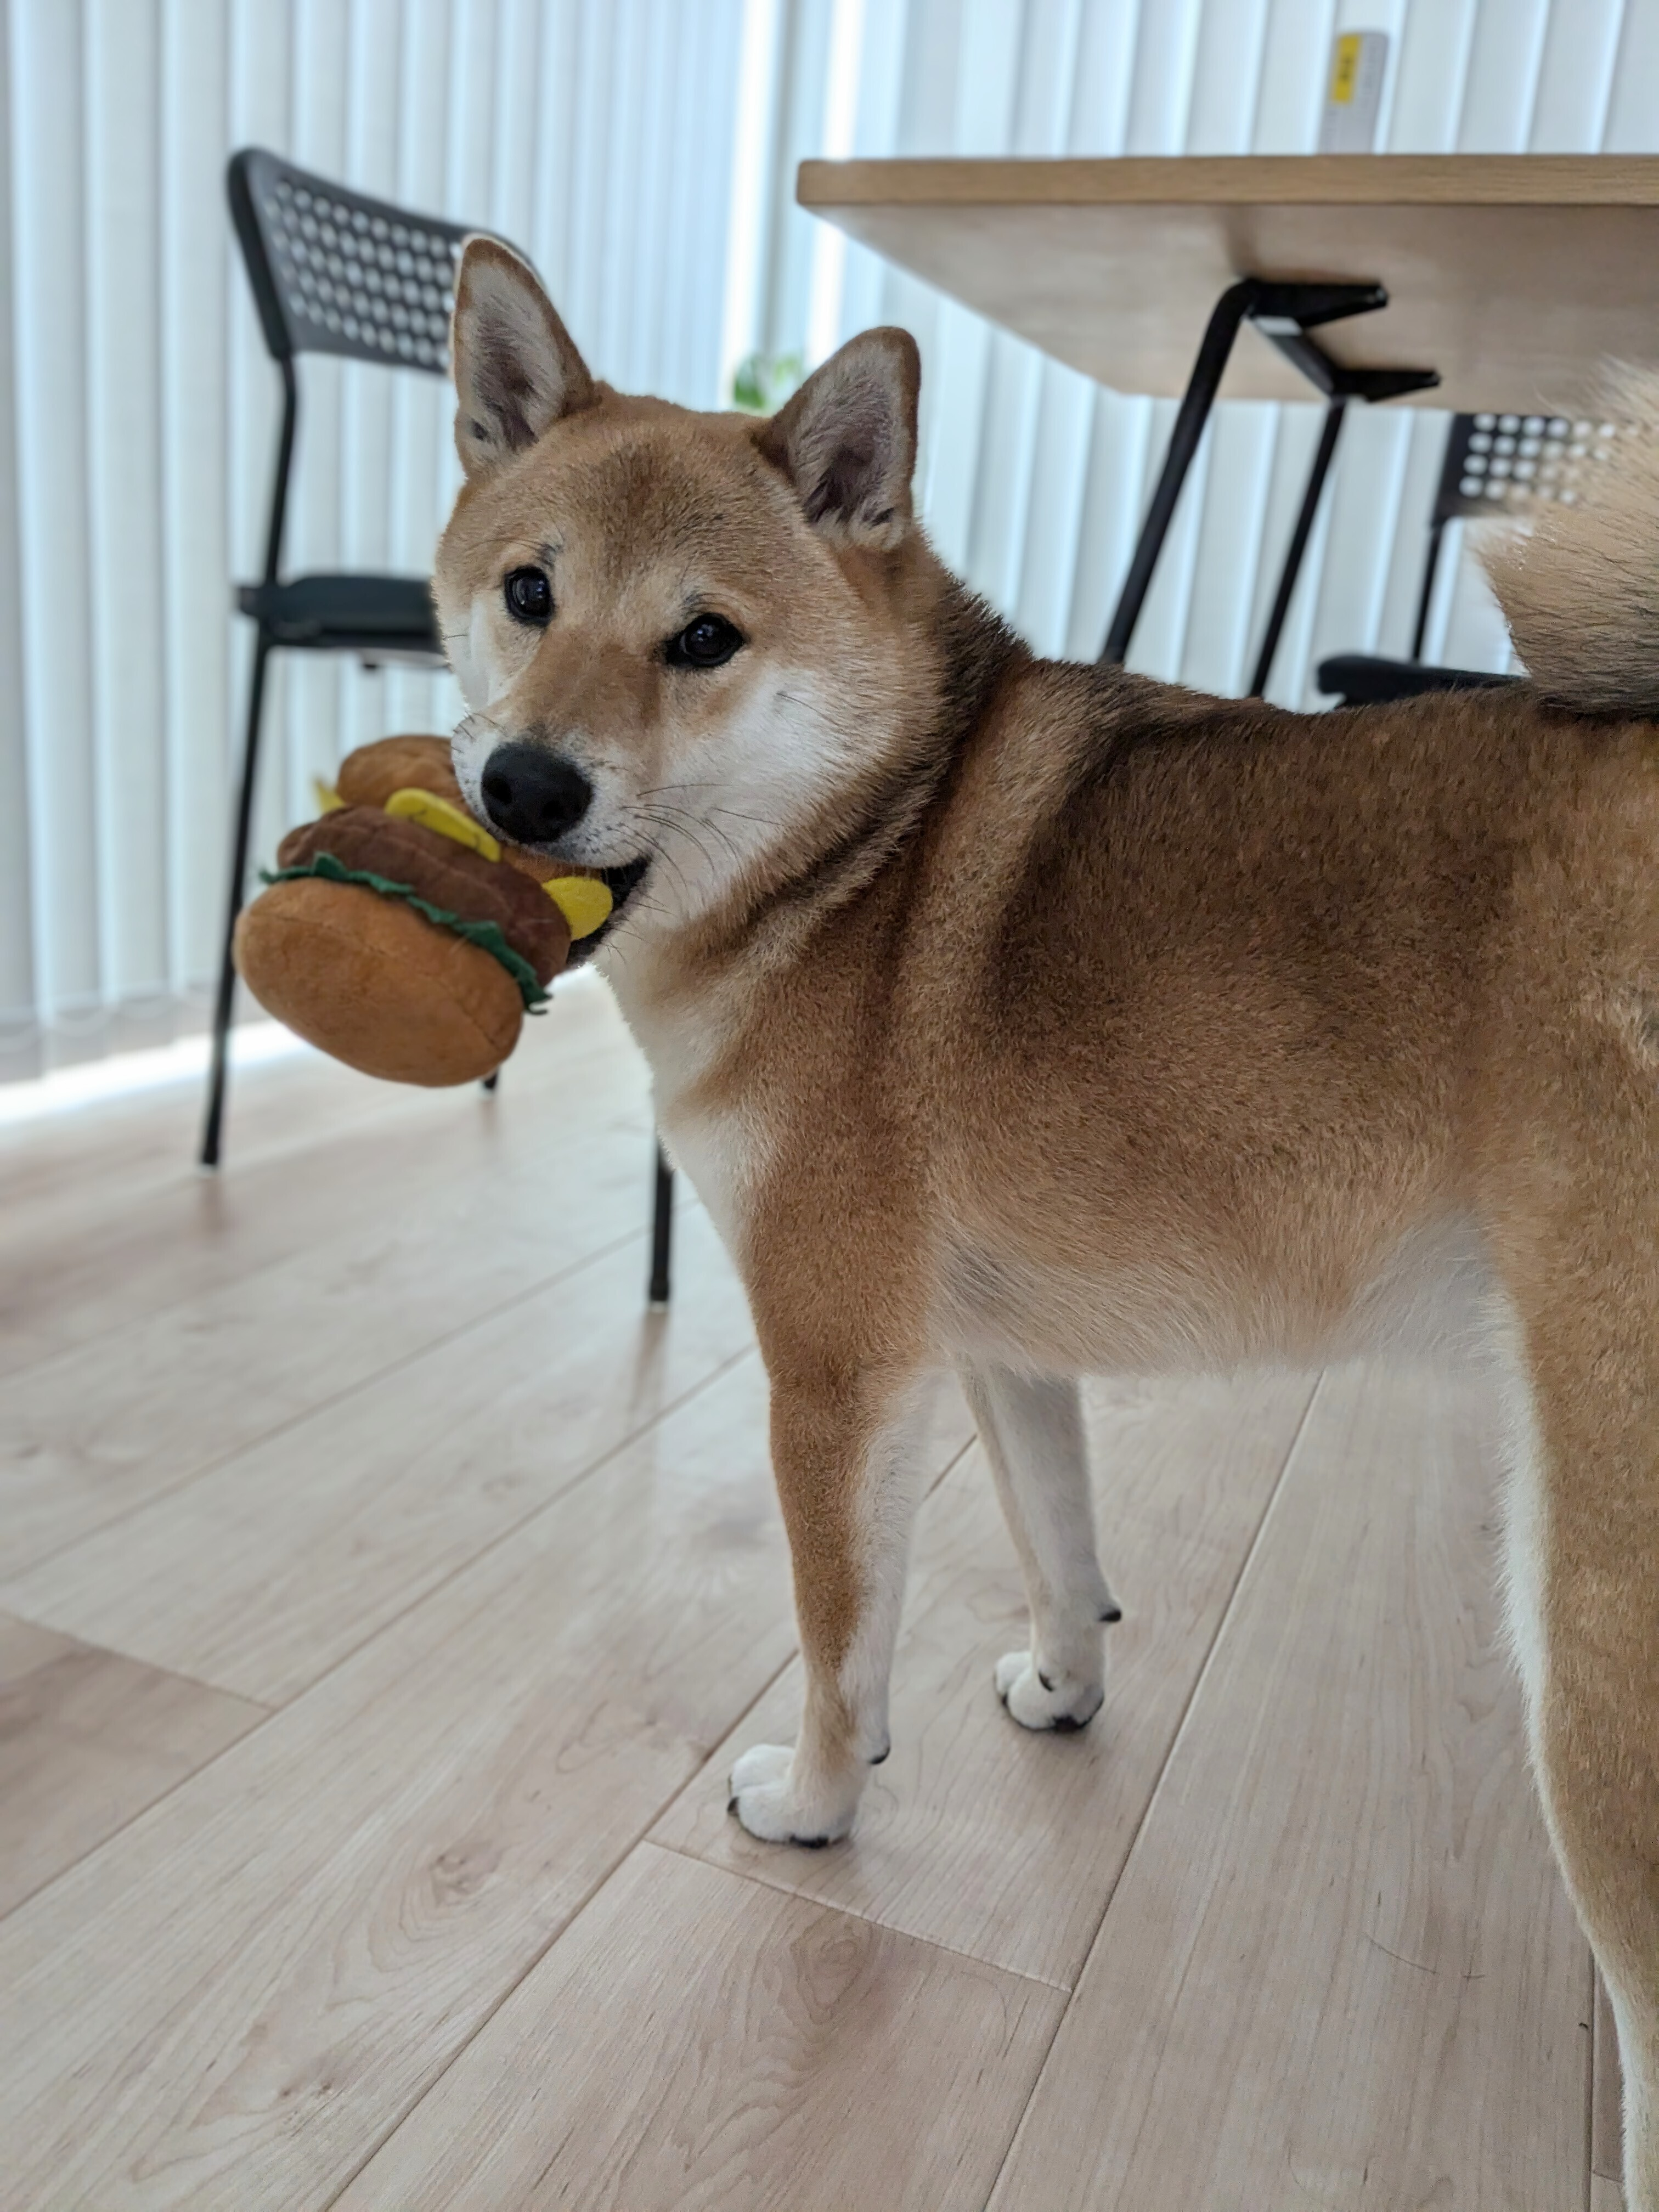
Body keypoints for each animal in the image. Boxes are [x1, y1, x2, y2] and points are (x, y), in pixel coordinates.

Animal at [434, 235, 1659, 2202]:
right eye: (528, 592)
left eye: (705, 640)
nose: (525, 787)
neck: (858, 856)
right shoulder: (997, 1352)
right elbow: (1060, 1547)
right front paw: (1062, 1689)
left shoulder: (834, 1372)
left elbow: (838, 1642)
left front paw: (816, 1805)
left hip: (1597, 1634)